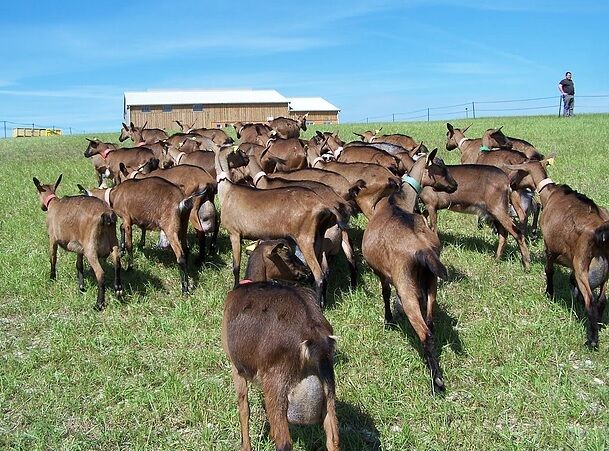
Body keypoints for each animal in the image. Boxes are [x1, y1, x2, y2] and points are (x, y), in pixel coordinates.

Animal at [222, 284, 340, 450]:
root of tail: (314, 336)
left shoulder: (236, 367)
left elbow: (244, 407)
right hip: (328, 388)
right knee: (333, 439)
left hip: (276, 386)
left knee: (284, 443)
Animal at [360, 156, 446, 396]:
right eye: (440, 168)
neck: (394, 204)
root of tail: (423, 250)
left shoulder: (382, 273)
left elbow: (385, 294)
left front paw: (388, 320)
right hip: (431, 284)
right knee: (430, 324)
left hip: (407, 288)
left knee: (424, 332)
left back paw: (437, 382)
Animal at [504, 159, 608, 350]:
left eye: (520, 171)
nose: (511, 184)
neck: (550, 194)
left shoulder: (550, 247)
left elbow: (549, 270)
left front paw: (549, 293)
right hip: (606, 272)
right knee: (602, 300)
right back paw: (598, 325)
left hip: (582, 266)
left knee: (591, 303)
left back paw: (591, 341)